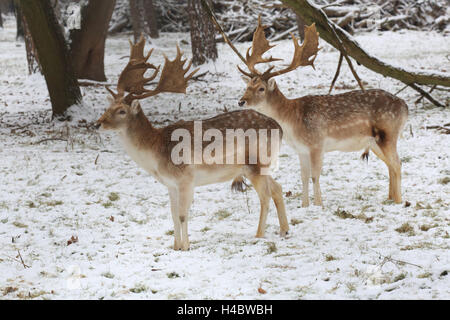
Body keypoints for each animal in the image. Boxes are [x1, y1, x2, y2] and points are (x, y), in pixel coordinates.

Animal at [96, 35, 290, 250]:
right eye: (108, 107)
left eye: (122, 110)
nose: (97, 123)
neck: (156, 151)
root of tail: (279, 127)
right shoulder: (170, 184)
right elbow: (172, 215)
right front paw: (175, 246)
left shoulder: (186, 178)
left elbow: (182, 215)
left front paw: (186, 247)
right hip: (262, 166)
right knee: (277, 188)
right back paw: (284, 230)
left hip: (255, 163)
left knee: (265, 196)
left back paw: (259, 235)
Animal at [232, 18, 408, 208]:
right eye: (247, 86)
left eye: (261, 88)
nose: (241, 101)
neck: (292, 120)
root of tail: (405, 107)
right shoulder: (301, 149)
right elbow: (303, 177)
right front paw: (304, 205)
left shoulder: (317, 143)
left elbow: (315, 176)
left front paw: (318, 205)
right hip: (374, 142)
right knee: (390, 165)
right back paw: (390, 198)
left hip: (388, 132)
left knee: (397, 163)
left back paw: (399, 201)